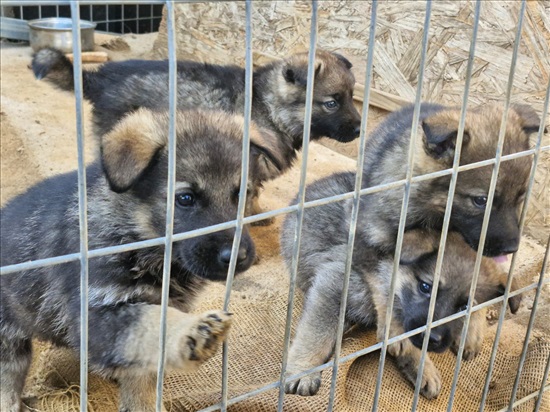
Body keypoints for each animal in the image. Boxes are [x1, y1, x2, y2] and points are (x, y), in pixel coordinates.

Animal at [0, 108, 276, 410]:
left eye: (242, 194)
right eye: (185, 198)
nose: (239, 257)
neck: (135, 232)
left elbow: (143, 376)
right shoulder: (98, 311)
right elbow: (152, 321)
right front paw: (191, 330)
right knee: (8, 377)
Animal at [32, 48, 364, 220]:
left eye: (352, 97)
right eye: (332, 103)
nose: (361, 128)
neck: (269, 105)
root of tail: (97, 78)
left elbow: (251, 194)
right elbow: (247, 196)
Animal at [282, 189, 524, 396]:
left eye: (463, 306)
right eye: (425, 287)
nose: (433, 339)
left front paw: (422, 367)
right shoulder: (333, 286)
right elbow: (315, 335)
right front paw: (303, 370)